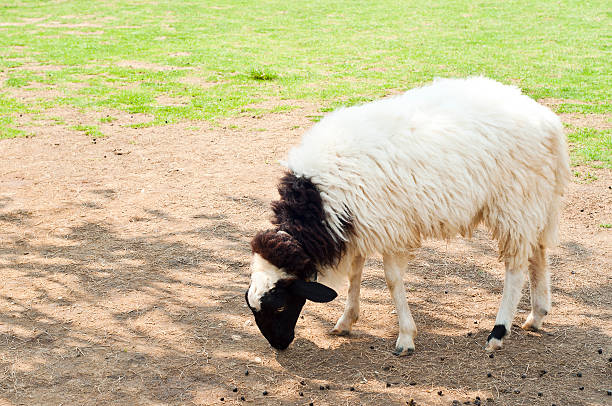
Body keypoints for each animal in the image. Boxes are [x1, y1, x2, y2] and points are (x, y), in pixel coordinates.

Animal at [243, 77, 568, 356]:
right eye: (252, 308)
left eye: (281, 306)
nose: (279, 345)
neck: (318, 202)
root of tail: (547, 120)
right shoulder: (357, 225)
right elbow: (355, 273)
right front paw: (346, 321)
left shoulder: (390, 226)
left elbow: (391, 280)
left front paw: (405, 338)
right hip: (534, 199)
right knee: (537, 251)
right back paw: (537, 315)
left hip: (514, 201)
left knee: (516, 266)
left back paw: (498, 333)